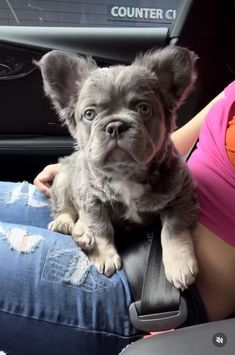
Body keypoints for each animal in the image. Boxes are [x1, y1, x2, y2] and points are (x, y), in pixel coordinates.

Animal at [39, 46, 200, 290]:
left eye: (144, 109)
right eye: (89, 114)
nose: (115, 125)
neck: (125, 173)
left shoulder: (180, 194)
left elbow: (173, 228)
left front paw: (179, 263)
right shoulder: (92, 200)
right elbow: (100, 226)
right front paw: (104, 253)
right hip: (63, 180)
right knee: (65, 208)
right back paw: (67, 224)